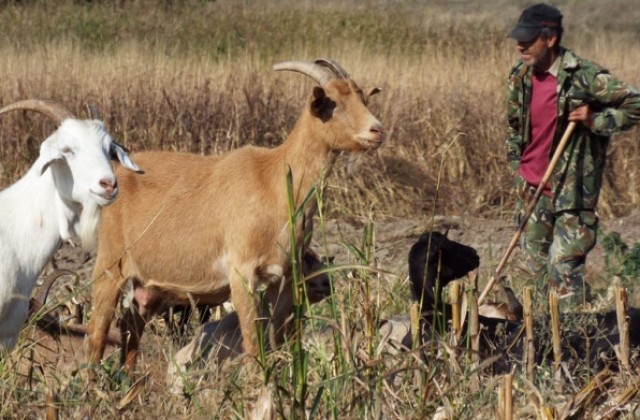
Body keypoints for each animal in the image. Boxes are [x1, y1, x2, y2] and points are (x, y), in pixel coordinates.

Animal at [87, 58, 382, 374]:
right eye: (332, 103)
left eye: (363, 99)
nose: (377, 130)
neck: (274, 180)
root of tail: (117, 175)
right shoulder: (242, 273)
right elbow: (253, 344)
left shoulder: (284, 277)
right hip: (110, 264)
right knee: (98, 330)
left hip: (149, 285)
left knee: (132, 325)